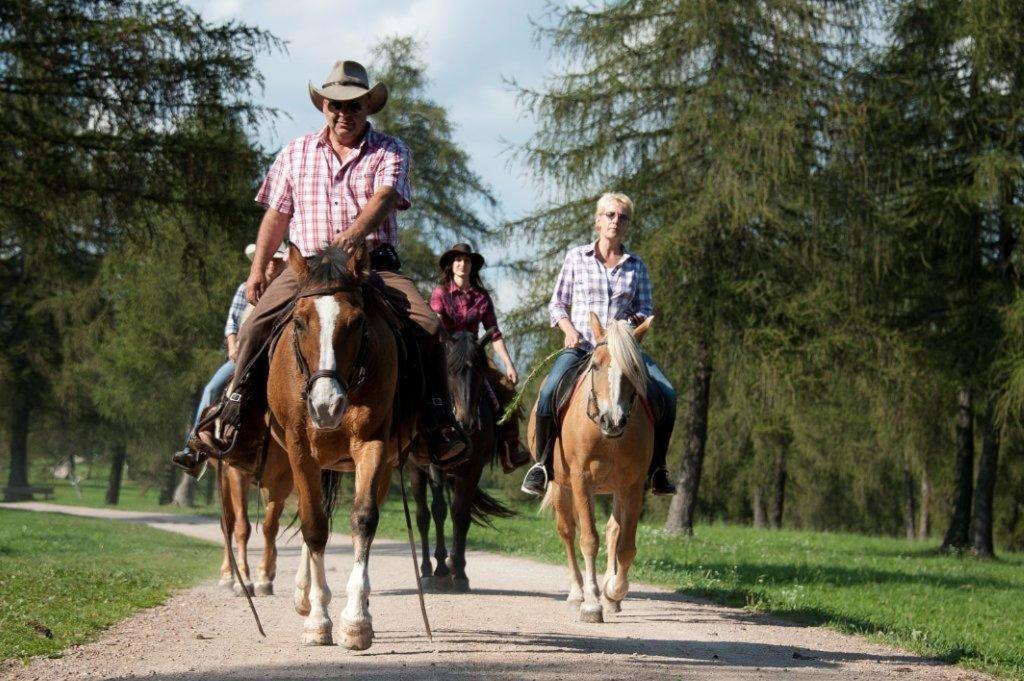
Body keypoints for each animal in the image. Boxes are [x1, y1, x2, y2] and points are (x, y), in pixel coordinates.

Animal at [210, 440, 294, 593]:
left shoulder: (283, 479)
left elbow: (270, 527)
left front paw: (264, 578)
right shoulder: (237, 473)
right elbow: (242, 527)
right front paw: (244, 580)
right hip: (224, 476)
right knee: (227, 524)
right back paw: (227, 576)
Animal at [409, 327, 516, 589]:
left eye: (478, 371)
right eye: (449, 370)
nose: (467, 420)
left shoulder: (472, 469)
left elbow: (460, 513)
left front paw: (459, 572)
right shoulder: (435, 465)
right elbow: (438, 510)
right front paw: (440, 568)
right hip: (416, 469)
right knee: (423, 516)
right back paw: (427, 572)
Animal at [528, 313, 655, 622]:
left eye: (635, 368)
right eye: (595, 364)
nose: (613, 420)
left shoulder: (633, 486)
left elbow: (626, 546)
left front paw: (613, 592)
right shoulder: (581, 480)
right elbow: (588, 539)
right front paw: (592, 603)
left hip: (616, 488)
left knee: (613, 530)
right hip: (561, 486)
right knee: (567, 531)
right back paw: (577, 593)